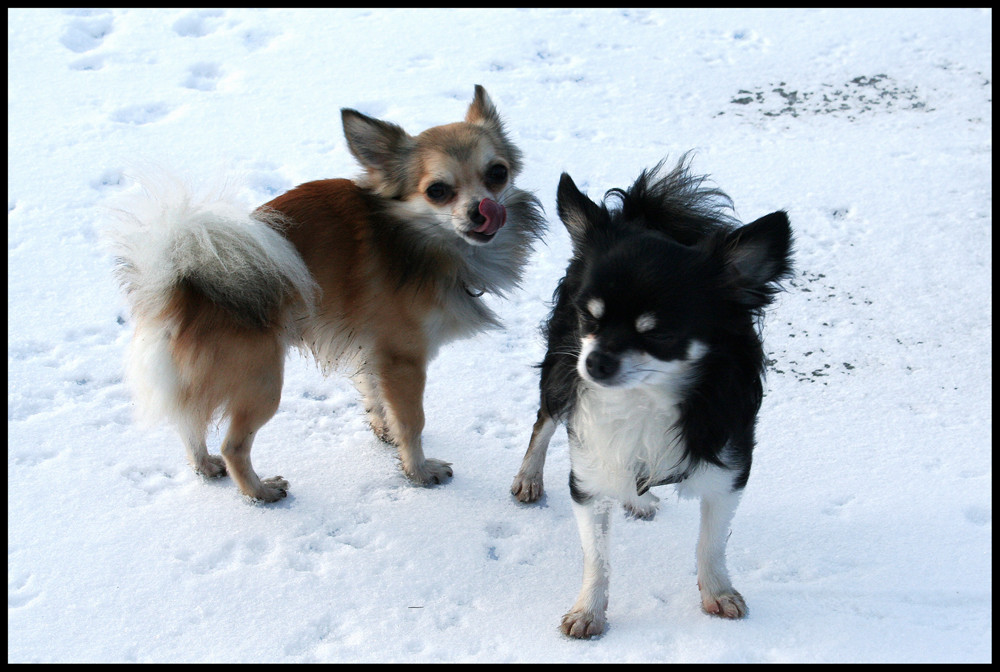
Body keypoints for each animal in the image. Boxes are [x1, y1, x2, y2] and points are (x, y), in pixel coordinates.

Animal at [109, 86, 544, 502]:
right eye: (437, 191)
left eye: (498, 173)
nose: (482, 209)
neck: (419, 240)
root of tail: (181, 288)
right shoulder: (403, 359)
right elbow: (412, 421)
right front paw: (419, 471)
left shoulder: (372, 350)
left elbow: (376, 396)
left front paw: (385, 433)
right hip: (262, 382)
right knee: (233, 445)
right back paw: (259, 492)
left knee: (189, 422)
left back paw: (204, 465)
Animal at [512, 156, 792, 636]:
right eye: (589, 317)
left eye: (658, 333)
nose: (595, 362)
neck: (644, 399)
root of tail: (640, 214)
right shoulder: (587, 477)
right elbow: (597, 558)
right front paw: (589, 611)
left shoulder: (729, 471)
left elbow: (711, 544)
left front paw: (718, 591)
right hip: (558, 372)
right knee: (543, 422)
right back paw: (530, 476)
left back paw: (637, 497)